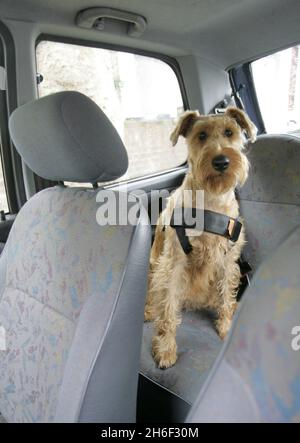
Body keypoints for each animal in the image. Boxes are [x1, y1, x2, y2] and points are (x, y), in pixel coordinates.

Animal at [144, 106, 256, 370]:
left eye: (229, 132)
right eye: (201, 135)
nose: (221, 161)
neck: (211, 200)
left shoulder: (228, 261)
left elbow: (225, 297)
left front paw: (226, 328)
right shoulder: (173, 263)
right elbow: (167, 309)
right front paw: (166, 349)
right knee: (157, 300)